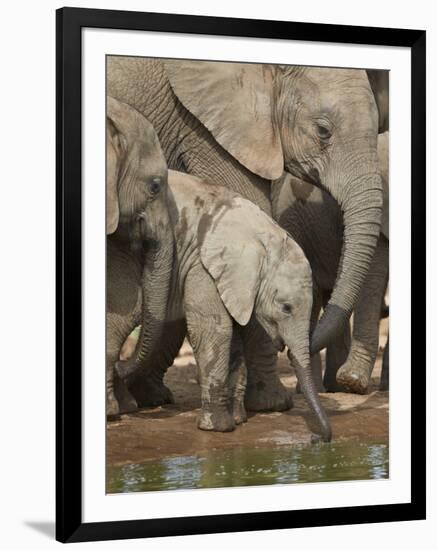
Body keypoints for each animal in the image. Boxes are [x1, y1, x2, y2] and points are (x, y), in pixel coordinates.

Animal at [116, 170, 330, 442]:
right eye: (286, 308)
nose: (317, 439)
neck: (262, 234)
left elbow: (235, 335)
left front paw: (238, 420)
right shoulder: (202, 264)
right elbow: (215, 330)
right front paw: (218, 427)